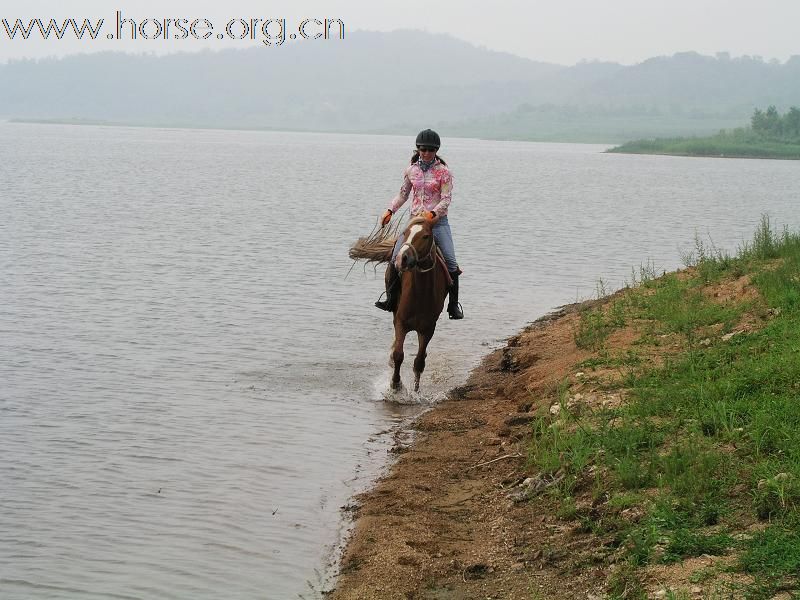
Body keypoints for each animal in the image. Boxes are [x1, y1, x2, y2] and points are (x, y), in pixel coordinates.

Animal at [388, 218, 450, 392]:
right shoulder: (400, 322)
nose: (402, 258)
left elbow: (419, 361)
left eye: (425, 236)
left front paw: (415, 391)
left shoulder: (428, 328)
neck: (421, 294)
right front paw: (396, 384)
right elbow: (399, 354)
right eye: (405, 232)